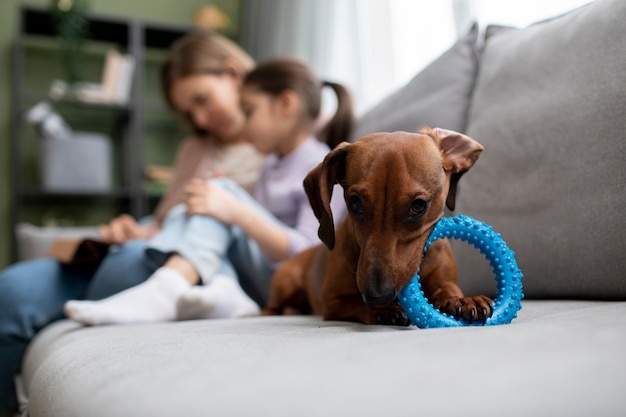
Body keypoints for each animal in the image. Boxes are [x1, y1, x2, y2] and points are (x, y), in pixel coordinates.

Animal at [260, 127, 490, 324]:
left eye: (418, 205)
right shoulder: (332, 302)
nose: (377, 296)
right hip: (286, 285)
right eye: (355, 202)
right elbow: (356, 304)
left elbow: (448, 289)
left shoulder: (445, 280)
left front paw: (464, 300)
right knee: (271, 306)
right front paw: (383, 310)